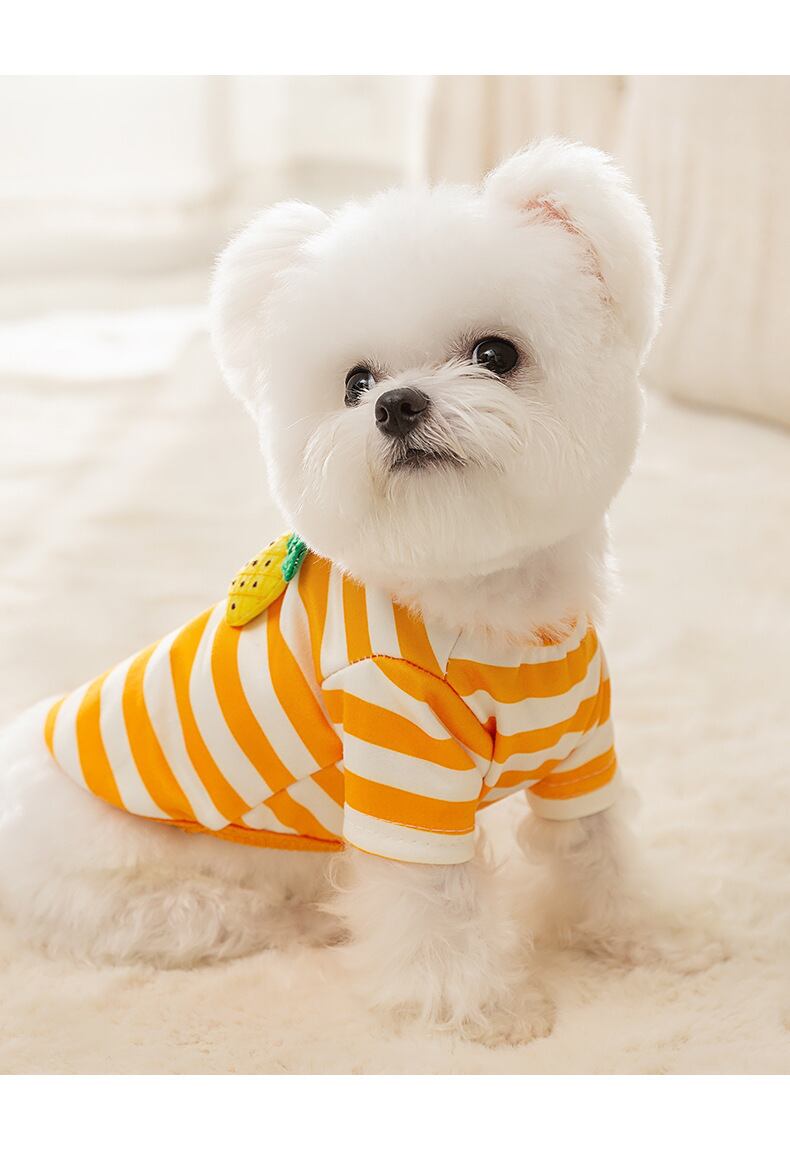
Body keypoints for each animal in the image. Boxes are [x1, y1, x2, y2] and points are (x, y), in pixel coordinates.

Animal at [0, 140, 722, 1044]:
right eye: (355, 382)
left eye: (496, 354)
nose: (397, 403)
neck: (486, 612)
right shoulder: (400, 761)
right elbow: (437, 904)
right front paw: (480, 1007)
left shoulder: (581, 748)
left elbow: (601, 852)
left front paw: (652, 937)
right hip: (142, 881)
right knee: (189, 914)